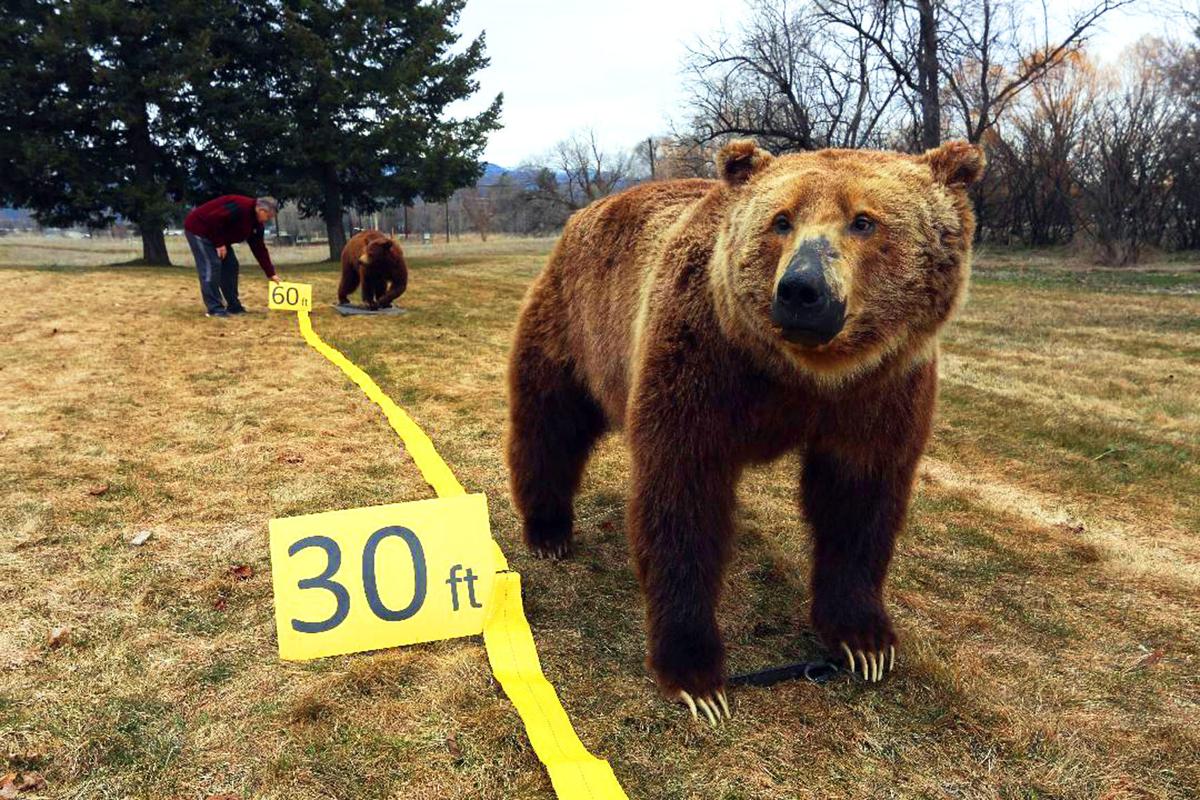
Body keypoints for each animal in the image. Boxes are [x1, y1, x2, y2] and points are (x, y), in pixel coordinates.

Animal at [505, 138, 984, 724]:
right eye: (781, 220)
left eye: (863, 221)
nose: (801, 290)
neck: (800, 374)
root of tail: (581, 214)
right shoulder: (703, 363)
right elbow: (683, 499)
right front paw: (696, 674)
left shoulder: (880, 388)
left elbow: (858, 502)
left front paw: (865, 641)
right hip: (575, 322)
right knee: (550, 422)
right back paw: (548, 531)